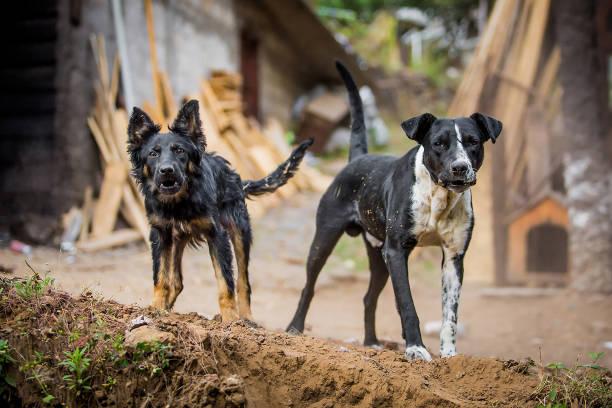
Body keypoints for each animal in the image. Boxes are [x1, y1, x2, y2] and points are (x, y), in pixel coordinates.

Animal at [127, 100, 314, 320]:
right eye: (153, 154)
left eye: (180, 151)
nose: (167, 170)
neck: (179, 202)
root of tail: (236, 178)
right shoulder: (160, 234)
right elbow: (161, 277)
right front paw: (155, 309)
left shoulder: (218, 235)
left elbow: (226, 282)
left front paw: (230, 320)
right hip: (177, 240)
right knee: (177, 281)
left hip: (240, 232)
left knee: (243, 282)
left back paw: (247, 319)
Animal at [286, 61, 502, 360]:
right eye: (438, 143)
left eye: (473, 142)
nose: (460, 167)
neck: (438, 196)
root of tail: (358, 158)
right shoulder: (397, 251)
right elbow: (407, 305)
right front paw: (415, 348)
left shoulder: (454, 257)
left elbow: (450, 315)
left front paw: (449, 355)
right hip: (325, 240)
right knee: (309, 287)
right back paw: (294, 328)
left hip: (378, 256)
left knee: (368, 298)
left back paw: (371, 342)